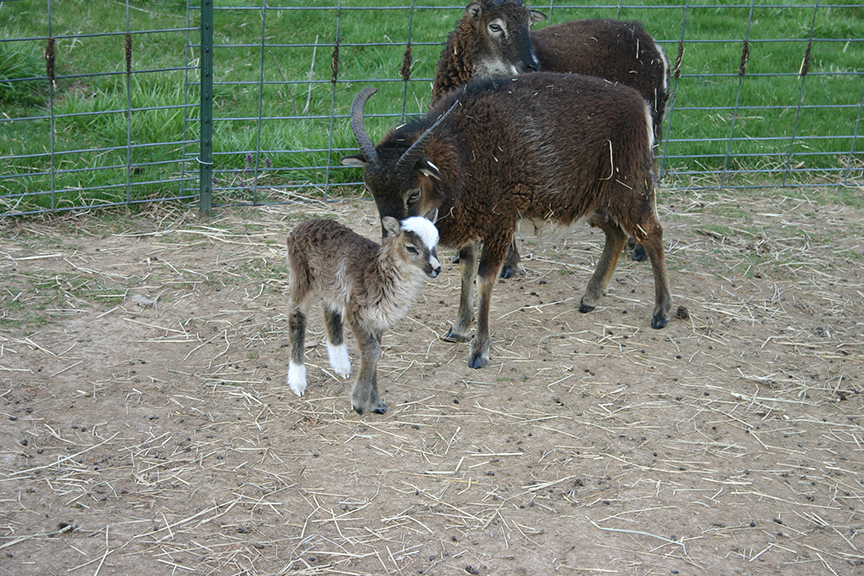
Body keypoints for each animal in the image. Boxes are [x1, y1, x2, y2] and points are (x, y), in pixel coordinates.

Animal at [288, 214, 442, 412]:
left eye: (436, 243)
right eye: (410, 248)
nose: (436, 268)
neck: (378, 274)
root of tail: (305, 222)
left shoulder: (378, 319)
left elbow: (374, 356)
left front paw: (375, 403)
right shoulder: (356, 312)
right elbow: (372, 352)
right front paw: (359, 401)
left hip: (332, 285)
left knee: (330, 312)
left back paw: (341, 366)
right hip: (301, 276)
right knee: (296, 316)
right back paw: (297, 381)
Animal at [342, 75, 676, 368]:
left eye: (413, 193)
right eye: (370, 188)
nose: (391, 240)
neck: (464, 152)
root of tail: (640, 104)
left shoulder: (500, 221)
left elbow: (484, 277)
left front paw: (479, 350)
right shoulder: (472, 224)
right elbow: (466, 270)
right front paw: (458, 329)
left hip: (629, 186)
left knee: (652, 233)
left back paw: (661, 312)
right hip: (592, 199)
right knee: (616, 234)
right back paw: (591, 297)